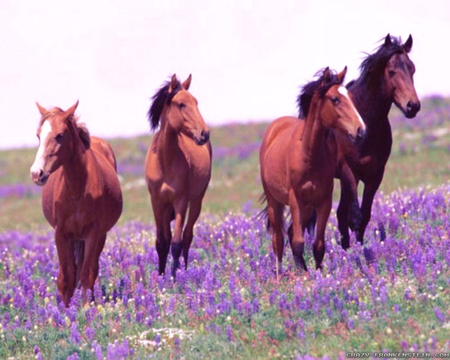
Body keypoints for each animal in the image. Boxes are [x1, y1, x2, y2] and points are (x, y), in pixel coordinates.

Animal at [29, 101, 122, 306]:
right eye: (38, 135)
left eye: (59, 135)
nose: (36, 173)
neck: (77, 189)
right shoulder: (61, 234)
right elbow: (66, 279)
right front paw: (65, 311)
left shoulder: (93, 232)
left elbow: (86, 274)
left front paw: (86, 308)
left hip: (99, 237)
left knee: (92, 270)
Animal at [146, 74, 213, 278]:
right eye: (181, 104)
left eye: (196, 102)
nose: (204, 133)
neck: (165, 161)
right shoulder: (157, 202)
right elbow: (161, 243)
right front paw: (160, 276)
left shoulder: (181, 200)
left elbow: (176, 243)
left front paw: (175, 279)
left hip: (197, 201)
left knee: (187, 237)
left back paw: (185, 270)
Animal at [260, 68, 366, 276]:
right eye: (335, 99)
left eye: (350, 96)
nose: (360, 130)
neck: (308, 154)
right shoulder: (295, 199)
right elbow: (298, 242)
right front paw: (304, 277)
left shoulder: (323, 201)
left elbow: (318, 245)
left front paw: (318, 274)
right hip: (275, 202)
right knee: (278, 240)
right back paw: (279, 276)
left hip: (308, 207)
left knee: (290, 232)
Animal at [324, 33, 422, 249]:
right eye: (392, 71)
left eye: (412, 69)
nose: (413, 106)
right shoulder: (348, 171)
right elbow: (355, 217)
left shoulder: (375, 174)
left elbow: (364, 216)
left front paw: (360, 250)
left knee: (340, 214)